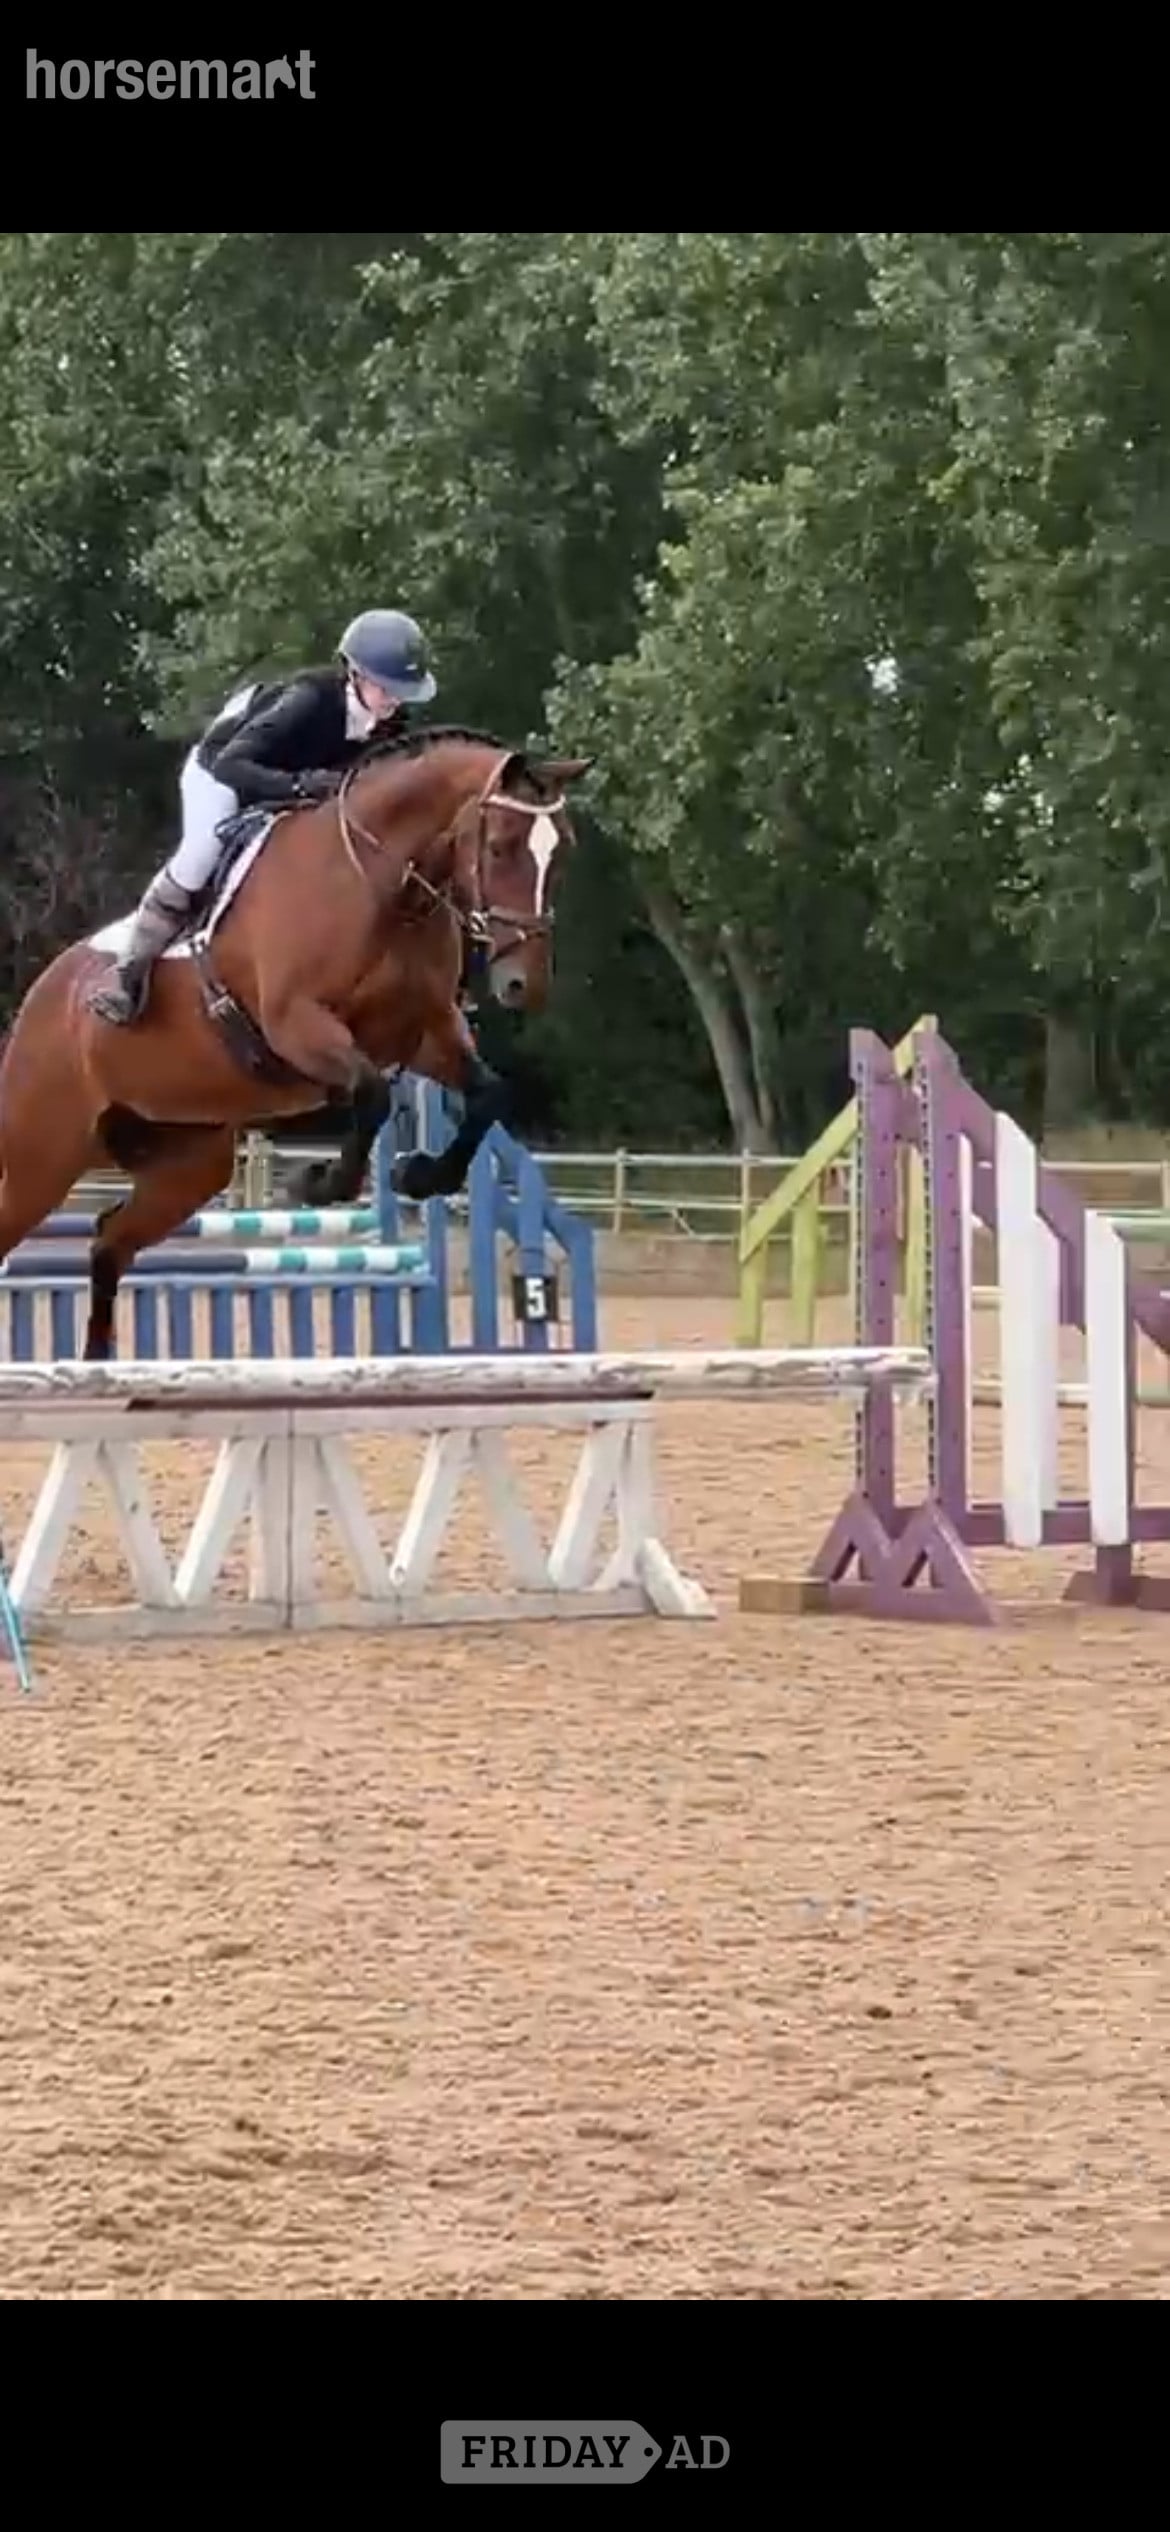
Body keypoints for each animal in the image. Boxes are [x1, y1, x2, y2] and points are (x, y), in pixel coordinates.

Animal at [0, 725, 591, 1358]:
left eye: (563, 851)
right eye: (500, 846)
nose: (523, 985)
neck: (381, 884)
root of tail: (43, 994)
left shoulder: (427, 1032)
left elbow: (487, 1095)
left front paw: (419, 1176)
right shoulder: (296, 1026)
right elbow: (371, 1095)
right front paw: (317, 1181)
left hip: (188, 1163)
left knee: (110, 1240)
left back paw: (98, 1366)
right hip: (41, 1155)